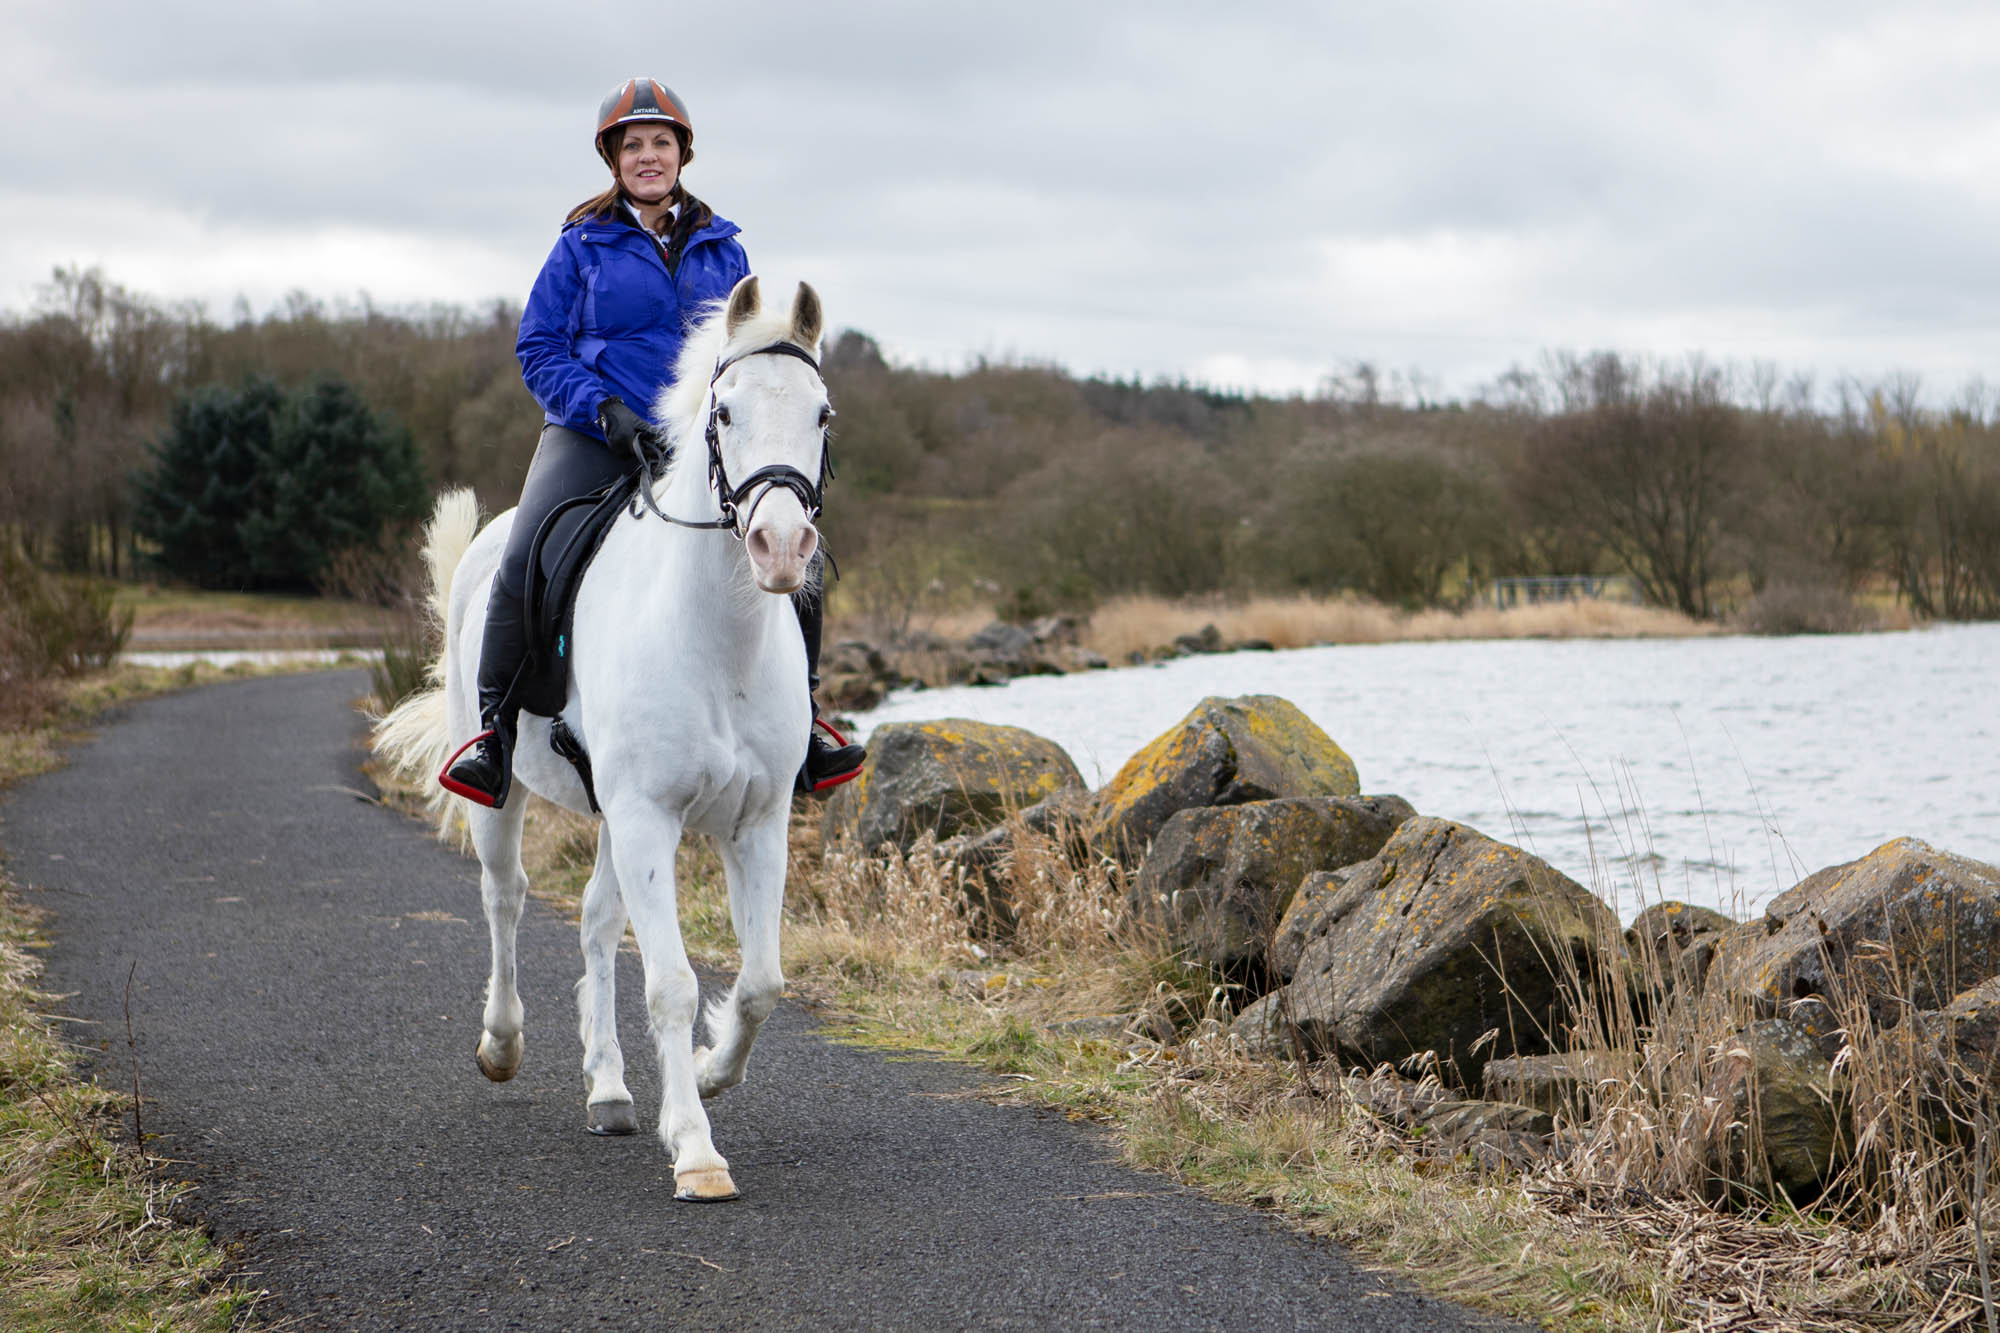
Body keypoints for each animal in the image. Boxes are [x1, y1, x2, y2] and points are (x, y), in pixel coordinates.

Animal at [378, 274, 824, 1200]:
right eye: (724, 411)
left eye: (823, 413)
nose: (780, 545)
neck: (716, 634)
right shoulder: (649, 814)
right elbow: (672, 983)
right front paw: (696, 1149)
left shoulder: (755, 822)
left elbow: (761, 981)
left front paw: (709, 1069)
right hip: (508, 796)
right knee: (505, 898)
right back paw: (502, 1044)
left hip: (619, 817)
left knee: (592, 919)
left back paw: (611, 1089)